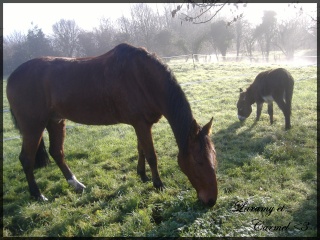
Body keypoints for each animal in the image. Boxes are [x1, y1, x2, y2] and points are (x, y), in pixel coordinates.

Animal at [6, 42, 218, 206]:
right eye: (198, 161)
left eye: (214, 158)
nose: (211, 200)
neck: (144, 78)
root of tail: (12, 76)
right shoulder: (141, 124)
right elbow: (151, 155)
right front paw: (158, 184)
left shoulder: (142, 124)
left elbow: (141, 150)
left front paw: (142, 175)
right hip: (33, 126)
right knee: (26, 159)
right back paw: (38, 195)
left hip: (56, 121)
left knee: (57, 152)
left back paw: (76, 185)